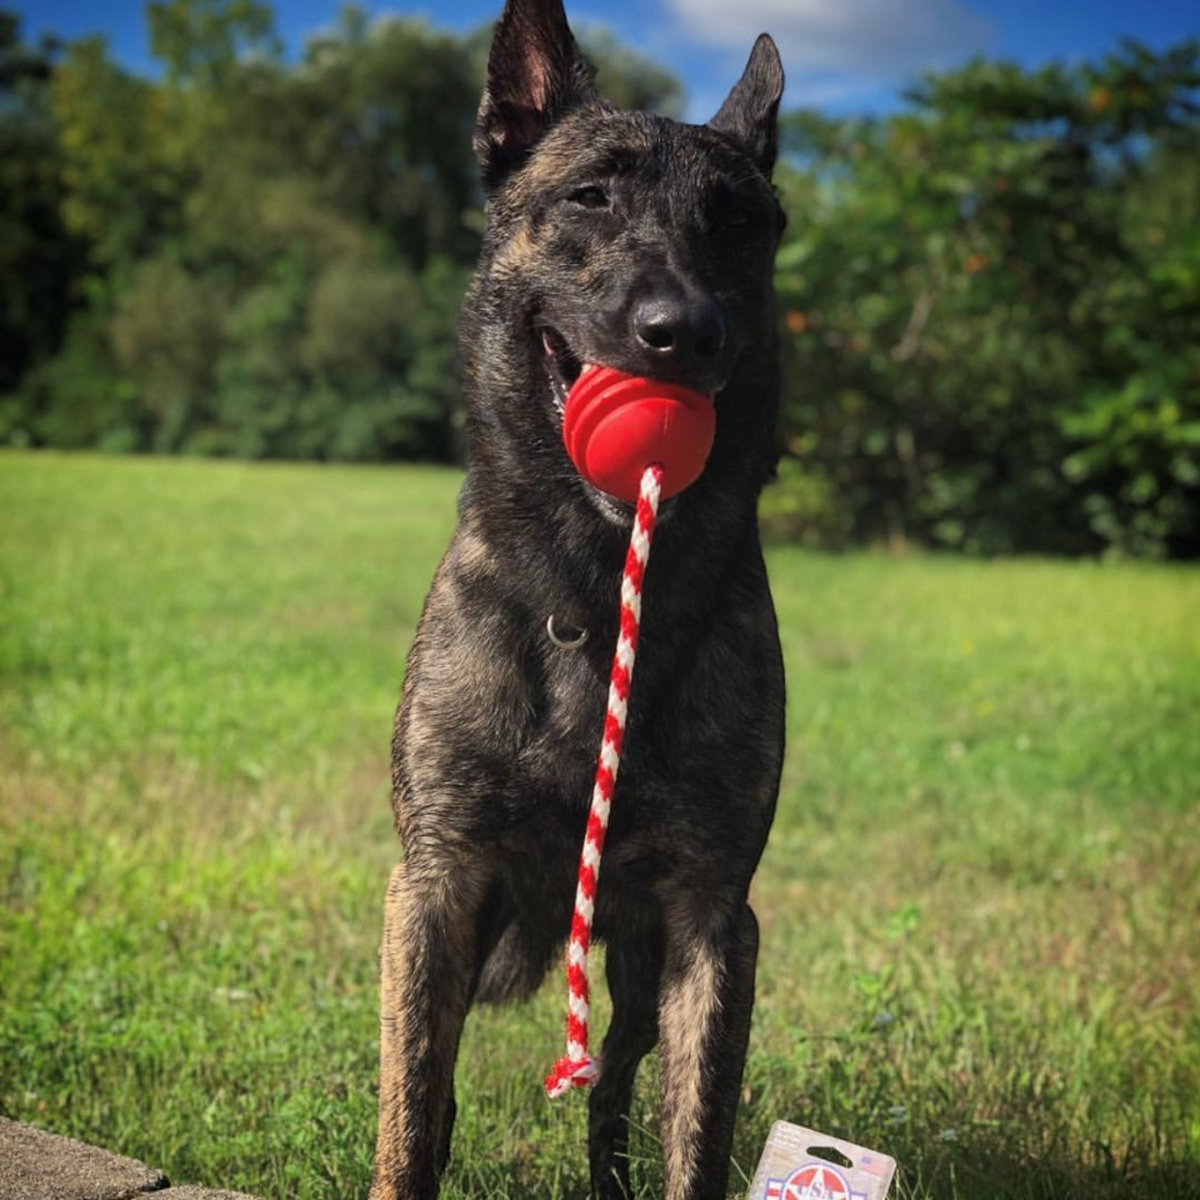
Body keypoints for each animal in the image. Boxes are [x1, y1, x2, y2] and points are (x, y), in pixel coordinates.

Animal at [374, 4, 787, 1195]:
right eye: (591, 196)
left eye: (739, 224)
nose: (682, 330)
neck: (595, 587)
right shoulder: (435, 889)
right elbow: (409, 1114)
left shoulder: (710, 919)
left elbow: (697, 1134)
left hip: (642, 970)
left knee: (614, 1085)